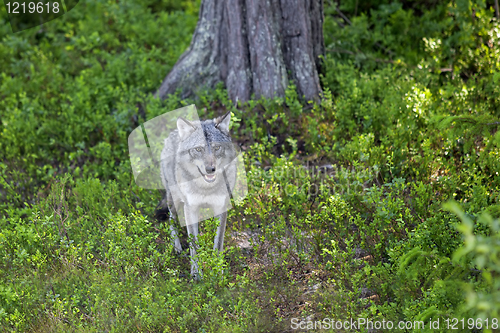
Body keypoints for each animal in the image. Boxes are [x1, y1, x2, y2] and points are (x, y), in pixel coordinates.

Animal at [154, 111, 236, 278]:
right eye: (198, 149)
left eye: (217, 147)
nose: (210, 169)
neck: (206, 188)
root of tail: (173, 134)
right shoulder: (190, 208)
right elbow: (194, 246)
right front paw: (197, 274)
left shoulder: (221, 208)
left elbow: (218, 243)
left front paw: (218, 273)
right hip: (174, 200)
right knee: (172, 220)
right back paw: (177, 248)